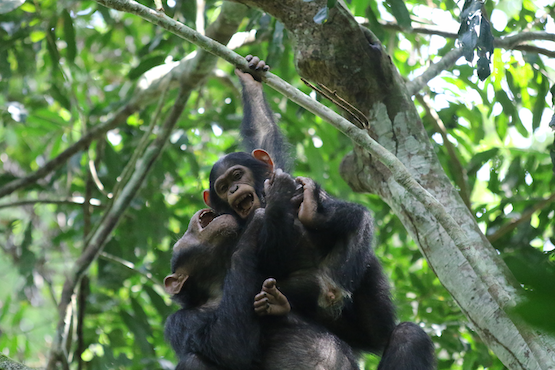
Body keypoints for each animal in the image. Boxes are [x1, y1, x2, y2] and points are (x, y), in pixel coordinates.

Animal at [163, 208, 360, 370]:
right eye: (182, 238)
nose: (190, 224)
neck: (218, 286)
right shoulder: (177, 322)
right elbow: (227, 346)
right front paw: (257, 219)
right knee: (193, 361)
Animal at [202, 55, 436, 370]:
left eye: (237, 174)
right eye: (223, 185)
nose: (235, 187)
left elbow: (263, 134)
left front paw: (250, 77)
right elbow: (265, 251)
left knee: (399, 331)